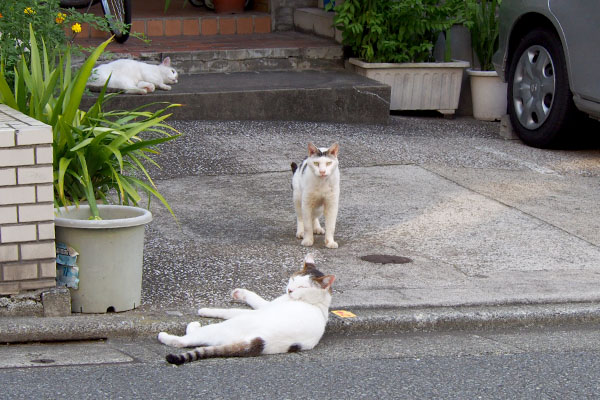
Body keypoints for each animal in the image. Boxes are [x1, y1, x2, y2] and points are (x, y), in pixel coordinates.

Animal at [157, 255, 336, 364]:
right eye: (292, 280)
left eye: (302, 287)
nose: (289, 290)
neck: (317, 303)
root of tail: (260, 341)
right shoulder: (266, 305)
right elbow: (253, 297)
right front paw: (240, 293)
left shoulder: (264, 308)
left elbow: (230, 310)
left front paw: (205, 310)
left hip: (228, 326)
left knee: (185, 341)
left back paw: (176, 332)